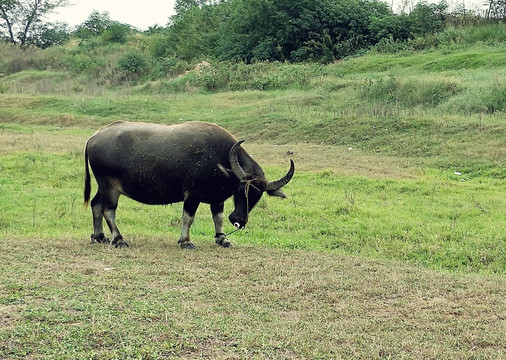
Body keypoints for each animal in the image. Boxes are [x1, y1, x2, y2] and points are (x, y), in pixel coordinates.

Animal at [84, 120, 294, 248]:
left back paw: (100, 236)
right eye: (240, 190)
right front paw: (185, 241)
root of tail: (94, 137)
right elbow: (188, 217)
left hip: (102, 187)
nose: (239, 220)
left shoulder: (217, 198)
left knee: (95, 205)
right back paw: (119, 239)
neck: (221, 159)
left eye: (258, 195)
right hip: (110, 188)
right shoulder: (192, 195)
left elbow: (218, 218)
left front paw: (223, 239)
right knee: (108, 210)